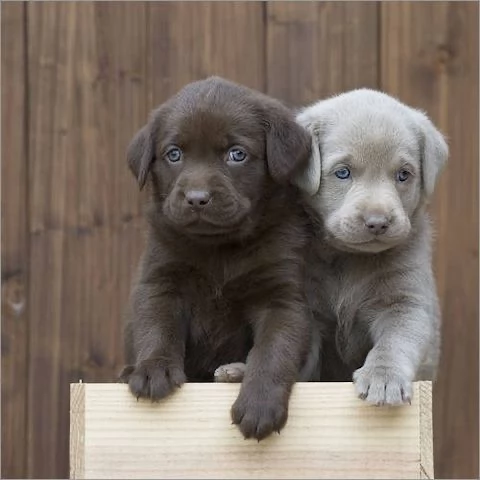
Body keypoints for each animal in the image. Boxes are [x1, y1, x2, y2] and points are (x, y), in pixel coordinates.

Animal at [120, 77, 316, 440]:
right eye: (174, 154)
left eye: (236, 154)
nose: (197, 199)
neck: (219, 249)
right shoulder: (161, 281)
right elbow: (157, 326)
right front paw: (154, 370)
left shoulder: (281, 297)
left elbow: (273, 349)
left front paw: (259, 403)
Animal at [294, 88, 448, 404]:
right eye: (343, 173)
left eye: (403, 174)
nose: (378, 222)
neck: (348, 258)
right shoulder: (307, 306)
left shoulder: (405, 301)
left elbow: (394, 341)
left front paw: (384, 378)